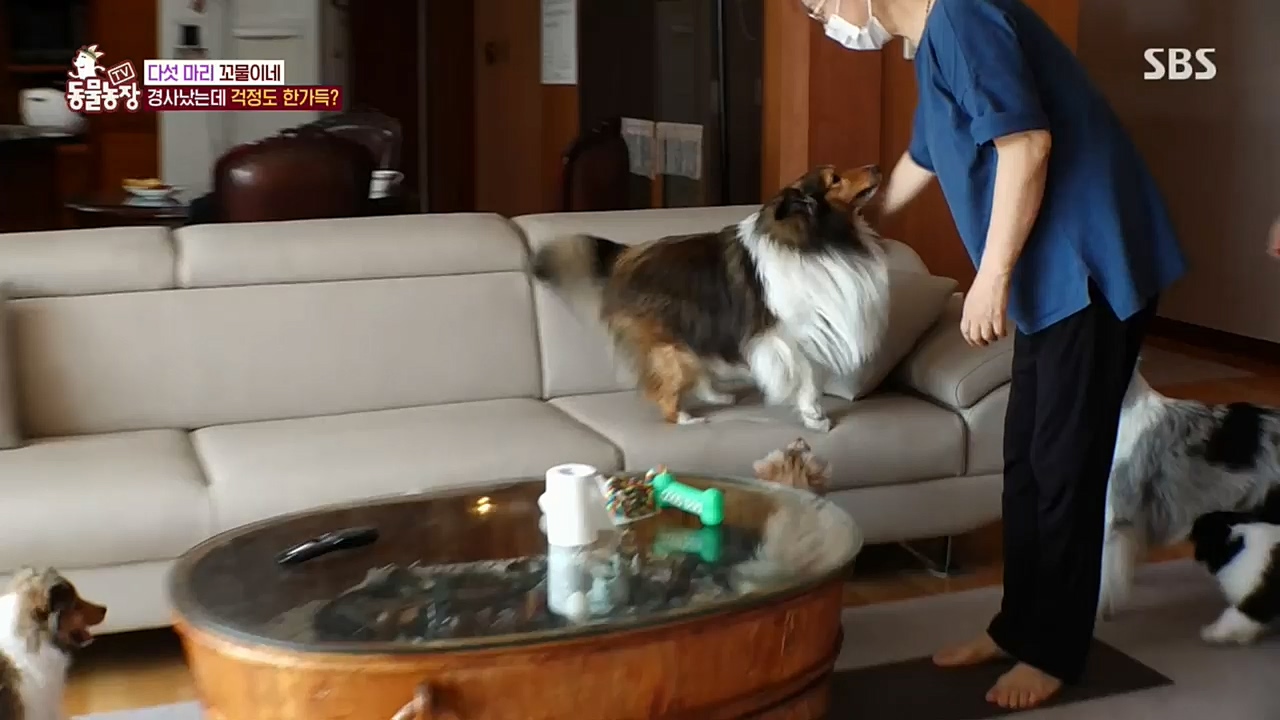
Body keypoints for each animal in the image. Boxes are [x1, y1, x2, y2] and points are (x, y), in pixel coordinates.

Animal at [531, 165, 890, 431]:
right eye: (834, 179)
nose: (876, 167)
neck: (814, 239)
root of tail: (626, 254)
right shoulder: (788, 335)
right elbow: (805, 376)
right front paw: (814, 416)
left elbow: (811, 377)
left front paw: (814, 415)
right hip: (670, 345)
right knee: (667, 386)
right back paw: (685, 418)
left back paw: (718, 397)